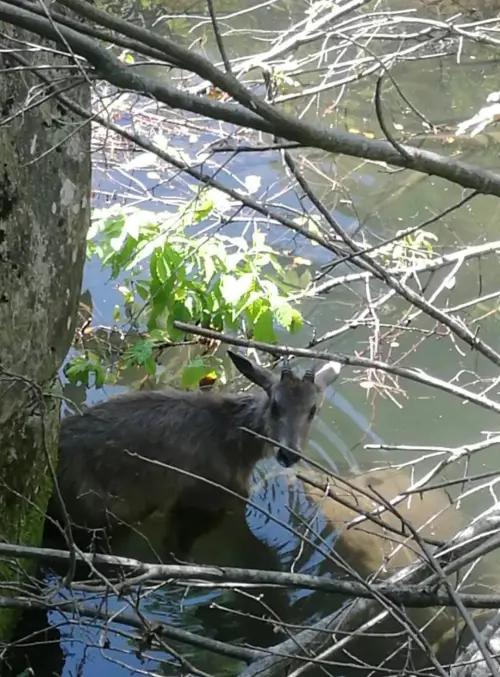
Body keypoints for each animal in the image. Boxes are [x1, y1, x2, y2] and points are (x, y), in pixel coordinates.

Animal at [47, 348, 342, 560]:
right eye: (275, 405)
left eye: (313, 409)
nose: (288, 454)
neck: (239, 450)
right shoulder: (204, 501)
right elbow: (177, 552)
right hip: (96, 517)